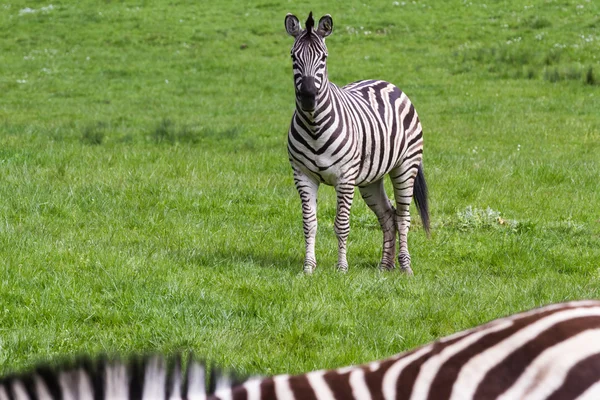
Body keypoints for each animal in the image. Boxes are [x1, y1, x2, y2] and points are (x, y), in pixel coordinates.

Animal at [284, 11, 428, 276]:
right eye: (293, 56)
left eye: (324, 57)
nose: (308, 97)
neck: (314, 125)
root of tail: (386, 83)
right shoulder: (302, 175)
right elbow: (309, 223)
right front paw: (308, 267)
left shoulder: (345, 178)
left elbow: (341, 223)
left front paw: (341, 268)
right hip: (371, 179)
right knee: (388, 214)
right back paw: (385, 266)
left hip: (405, 166)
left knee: (403, 217)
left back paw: (405, 267)